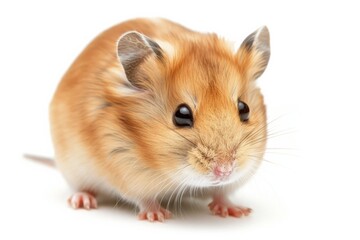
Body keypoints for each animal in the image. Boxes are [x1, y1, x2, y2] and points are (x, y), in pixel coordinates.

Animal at [50, 17, 270, 222]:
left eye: (244, 109)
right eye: (181, 115)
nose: (225, 171)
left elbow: (221, 193)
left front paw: (237, 211)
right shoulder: (127, 171)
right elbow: (144, 199)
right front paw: (157, 216)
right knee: (82, 188)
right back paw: (82, 201)